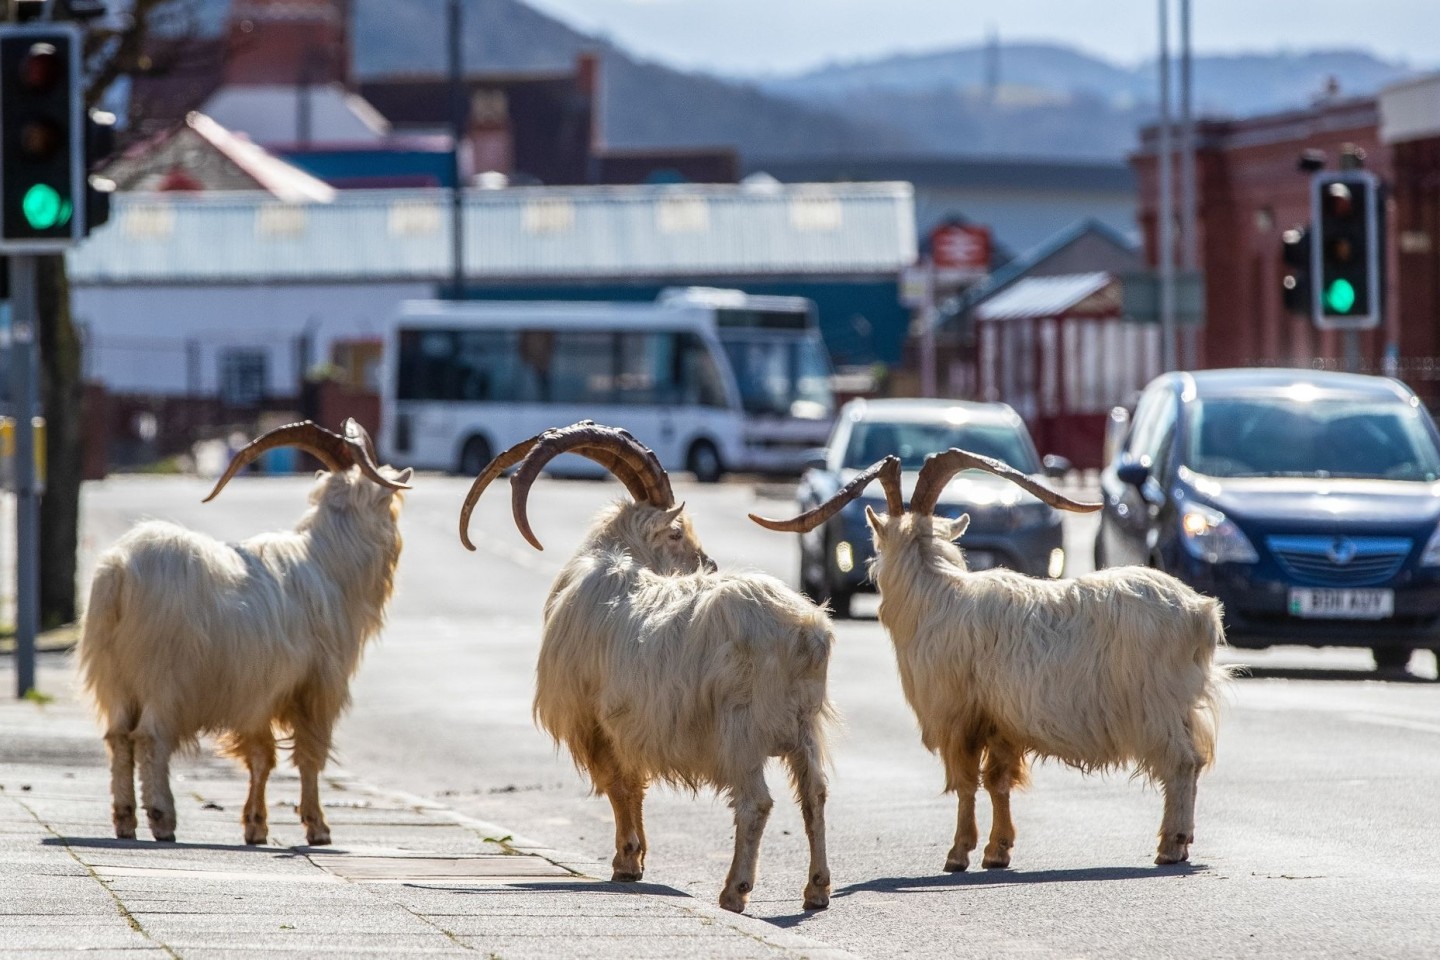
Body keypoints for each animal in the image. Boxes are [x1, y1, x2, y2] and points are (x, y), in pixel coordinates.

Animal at [79, 420, 411, 846]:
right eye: (391, 505)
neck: (328, 563)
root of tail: (120, 570)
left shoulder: (258, 691)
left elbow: (260, 756)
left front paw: (256, 826)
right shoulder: (317, 686)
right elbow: (309, 755)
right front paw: (317, 828)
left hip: (114, 676)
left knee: (119, 736)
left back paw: (124, 820)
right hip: (164, 675)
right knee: (151, 737)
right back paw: (163, 818)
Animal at [460, 423, 840, 915]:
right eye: (677, 533)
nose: (708, 564)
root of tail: (804, 632)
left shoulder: (595, 723)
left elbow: (619, 786)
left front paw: (626, 862)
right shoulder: (628, 726)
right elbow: (634, 786)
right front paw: (637, 858)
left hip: (739, 730)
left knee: (755, 802)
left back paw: (734, 891)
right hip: (804, 727)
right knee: (815, 794)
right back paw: (817, 889)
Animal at [754, 451, 1226, 869]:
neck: (935, 594)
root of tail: (1199, 612)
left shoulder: (958, 716)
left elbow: (965, 783)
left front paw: (958, 854)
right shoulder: (1001, 723)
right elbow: (999, 782)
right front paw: (998, 851)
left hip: (1154, 706)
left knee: (1181, 763)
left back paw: (1170, 845)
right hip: (1182, 706)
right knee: (1196, 761)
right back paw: (1182, 843)